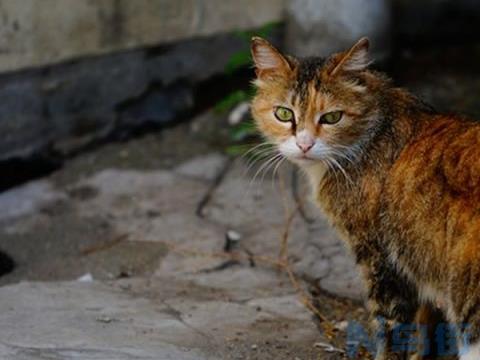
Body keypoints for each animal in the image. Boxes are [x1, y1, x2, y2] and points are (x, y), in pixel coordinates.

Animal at [251, 35, 480, 358]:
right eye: (283, 113)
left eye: (332, 117)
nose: (305, 145)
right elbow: (426, 332)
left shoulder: (382, 260)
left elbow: (391, 328)